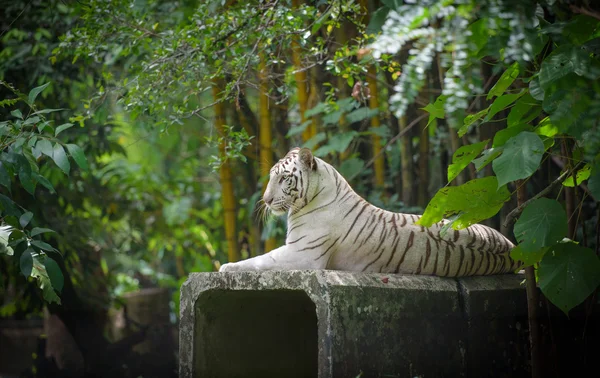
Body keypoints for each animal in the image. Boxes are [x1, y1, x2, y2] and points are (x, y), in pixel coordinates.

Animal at [220, 146, 520, 276]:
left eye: (284, 179)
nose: (267, 200)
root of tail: (512, 251)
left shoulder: (302, 254)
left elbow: (260, 259)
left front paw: (226, 266)